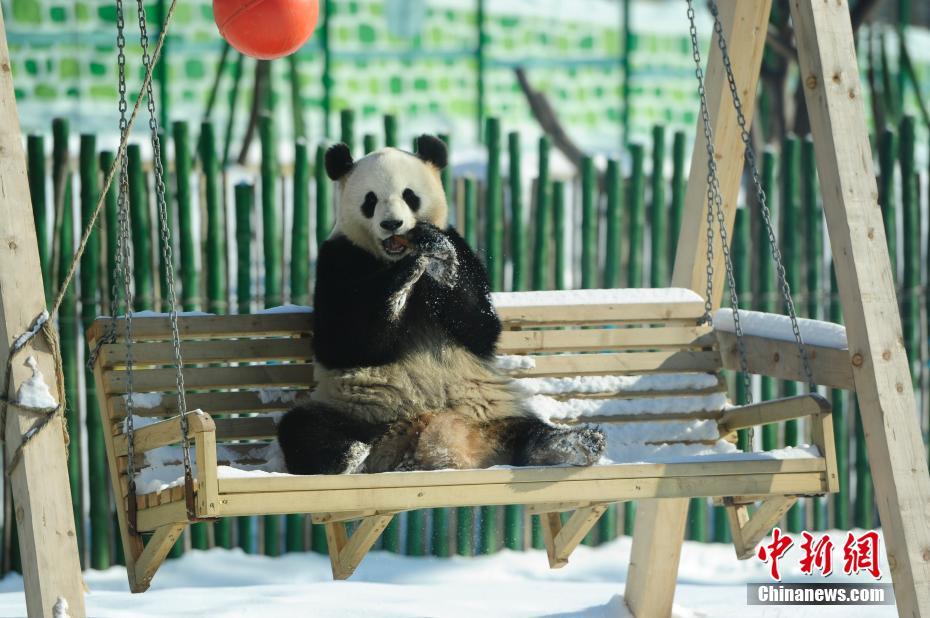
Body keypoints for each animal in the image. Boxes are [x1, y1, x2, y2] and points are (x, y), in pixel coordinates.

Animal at [277, 135, 604, 474]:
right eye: (370, 200)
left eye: (409, 195)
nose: (392, 224)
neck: (390, 256)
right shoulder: (337, 259)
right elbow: (343, 342)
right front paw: (400, 278)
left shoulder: (460, 245)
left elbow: (481, 327)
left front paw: (439, 259)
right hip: (359, 408)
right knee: (305, 426)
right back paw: (347, 456)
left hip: (490, 405)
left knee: (528, 427)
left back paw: (568, 444)